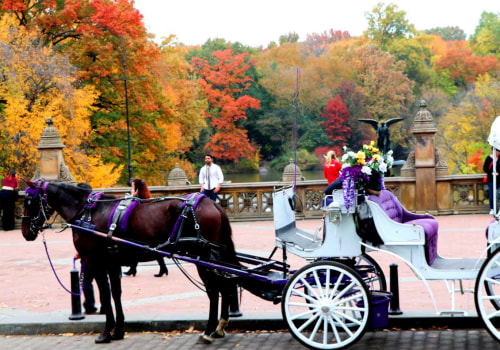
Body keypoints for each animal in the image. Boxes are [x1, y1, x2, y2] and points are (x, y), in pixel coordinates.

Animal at [22, 180, 241, 344]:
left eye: (29, 200)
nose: (25, 232)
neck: (86, 212)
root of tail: (212, 203)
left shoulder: (95, 262)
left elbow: (105, 295)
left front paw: (106, 333)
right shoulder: (112, 263)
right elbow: (116, 294)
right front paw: (118, 330)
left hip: (202, 258)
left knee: (214, 290)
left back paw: (209, 330)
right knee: (226, 285)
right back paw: (220, 326)